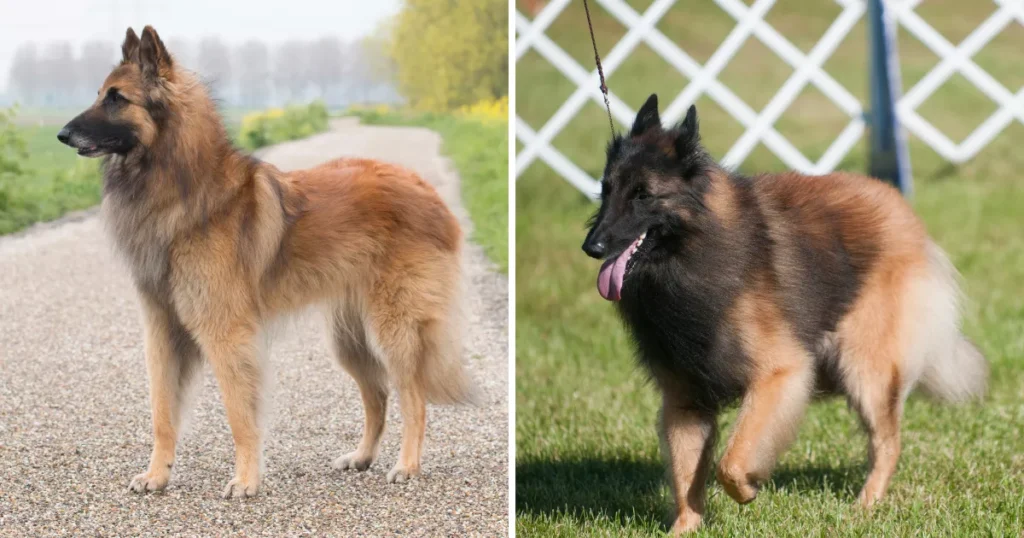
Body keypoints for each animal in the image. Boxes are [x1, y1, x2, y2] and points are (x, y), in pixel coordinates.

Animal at [581, 93, 987, 532]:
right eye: (605, 190)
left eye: (643, 195)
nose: (592, 246)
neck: (693, 249)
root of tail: (896, 202)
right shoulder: (684, 400)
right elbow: (688, 479)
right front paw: (684, 530)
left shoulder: (780, 373)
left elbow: (731, 462)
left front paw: (748, 487)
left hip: (863, 368)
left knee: (888, 442)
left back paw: (865, 506)